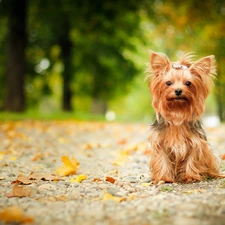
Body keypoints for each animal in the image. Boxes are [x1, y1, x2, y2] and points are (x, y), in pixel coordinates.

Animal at [146, 50, 221, 183]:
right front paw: (164, 178)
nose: (178, 90)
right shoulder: (160, 143)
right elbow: (162, 159)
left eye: (188, 83)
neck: (177, 112)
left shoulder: (196, 143)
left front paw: (190, 176)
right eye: (168, 83)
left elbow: (192, 158)